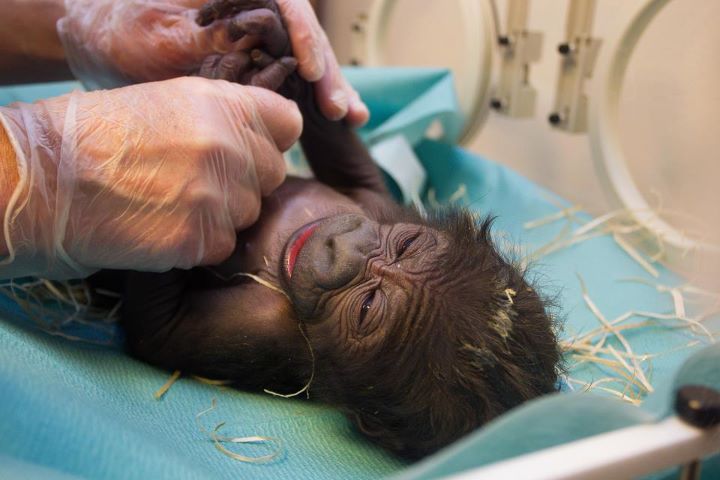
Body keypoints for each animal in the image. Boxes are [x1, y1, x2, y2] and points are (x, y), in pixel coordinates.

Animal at [114, 0, 564, 462]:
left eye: (366, 307)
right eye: (406, 244)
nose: (337, 246)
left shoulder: (269, 332)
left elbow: (158, 327)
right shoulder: (381, 207)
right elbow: (350, 166)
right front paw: (275, 41)